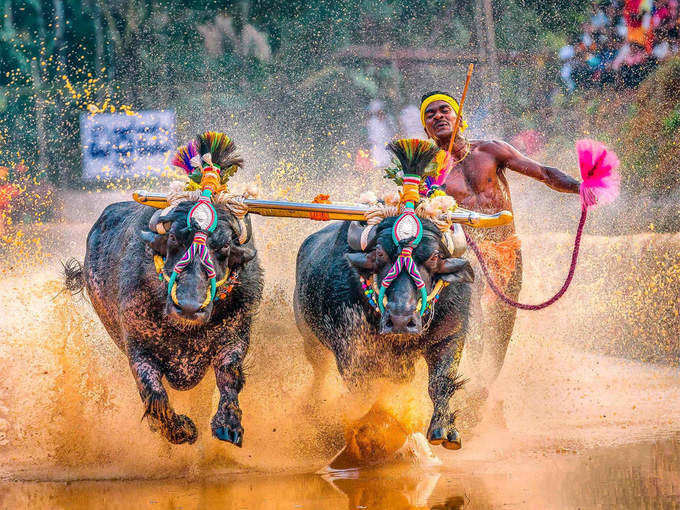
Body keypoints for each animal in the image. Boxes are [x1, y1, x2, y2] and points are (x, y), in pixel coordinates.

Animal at [292, 217, 472, 448]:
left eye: (435, 256)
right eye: (379, 253)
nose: (400, 319)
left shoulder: (450, 336)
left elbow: (441, 382)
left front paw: (444, 430)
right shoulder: (351, 352)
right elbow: (364, 394)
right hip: (311, 341)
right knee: (320, 372)